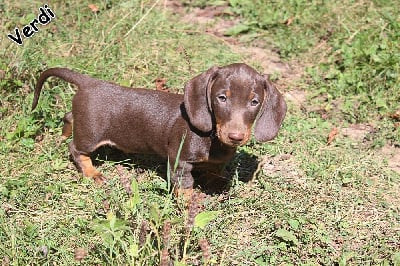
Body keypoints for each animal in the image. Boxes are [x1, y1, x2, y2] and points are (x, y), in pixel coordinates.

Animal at [32, 62, 288, 191]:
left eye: (254, 102)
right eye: (222, 98)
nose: (236, 136)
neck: (212, 138)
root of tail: (89, 82)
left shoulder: (219, 160)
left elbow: (216, 170)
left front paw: (217, 182)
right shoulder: (179, 162)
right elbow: (185, 188)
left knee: (69, 117)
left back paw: (64, 133)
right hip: (91, 134)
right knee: (76, 150)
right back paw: (91, 172)